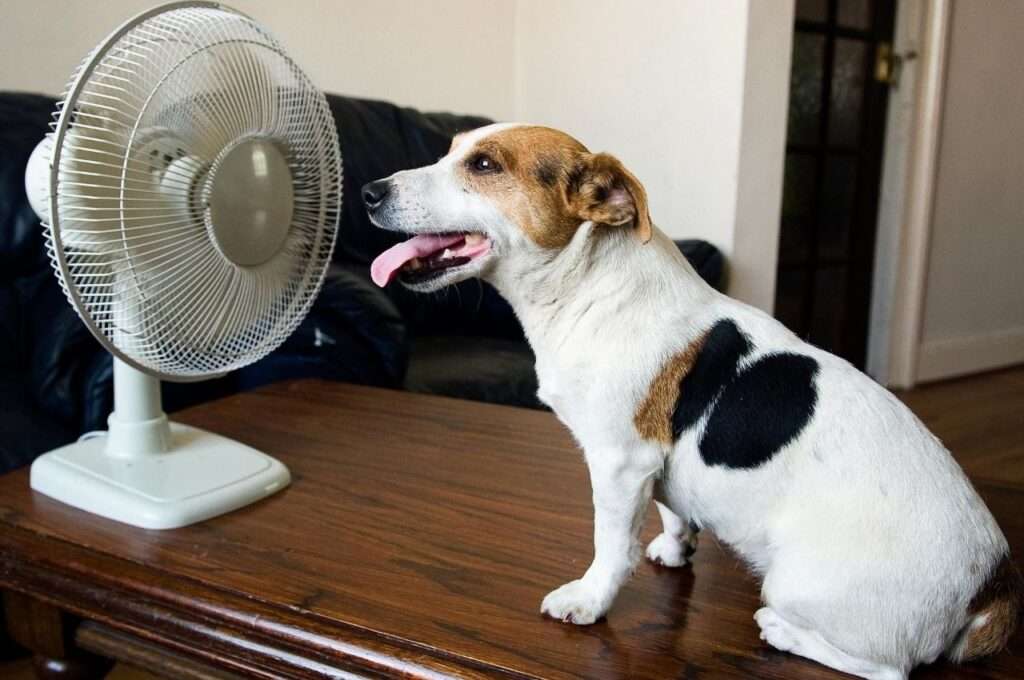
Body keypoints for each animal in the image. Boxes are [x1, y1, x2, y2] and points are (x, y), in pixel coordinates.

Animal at [364, 123, 1019, 680]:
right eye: (451, 149)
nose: (369, 192)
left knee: (886, 669)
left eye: (484, 165)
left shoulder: (619, 464)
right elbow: (674, 511)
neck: (590, 285)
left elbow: (611, 546)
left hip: (797, 585)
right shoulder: (655, 466)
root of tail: (992, 588)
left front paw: (589, 600)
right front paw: (677, 549)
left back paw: (784, 632)